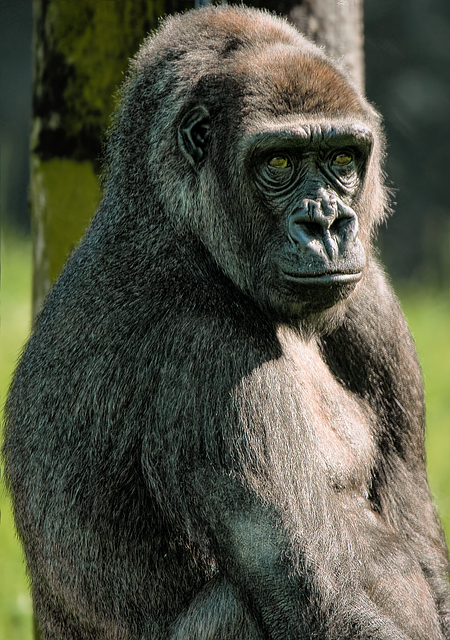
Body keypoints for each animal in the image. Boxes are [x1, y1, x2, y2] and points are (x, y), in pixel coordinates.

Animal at [3, 6, 450, 640]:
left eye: (342, 159)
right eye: (279, 162)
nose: (328, 225)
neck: (175, 221)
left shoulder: (373, 299)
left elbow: (414, 528)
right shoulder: (209, 355)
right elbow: (320, 590)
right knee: (237, 601)